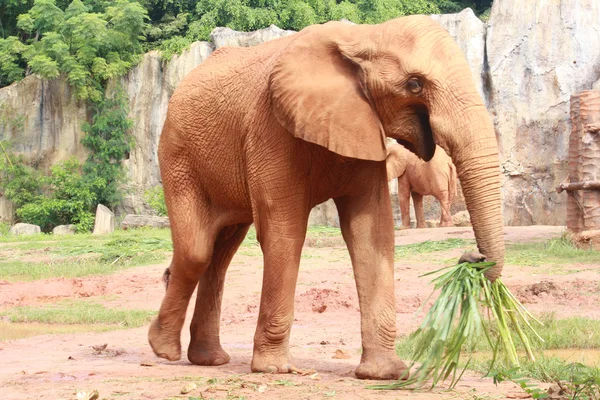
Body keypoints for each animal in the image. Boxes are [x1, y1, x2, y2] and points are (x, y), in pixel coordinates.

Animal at [148, 14, 504, 380]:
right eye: (415, 84)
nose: (472, 258)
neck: (365, 35)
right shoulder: (271, 127)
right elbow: (284, 231)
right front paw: (274, 369)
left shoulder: (364, 128)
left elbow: (371, 232)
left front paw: (385, 374)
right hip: (178, 156)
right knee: (197, 250)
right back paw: (164, 349)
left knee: (220, 255)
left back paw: (209, 359)